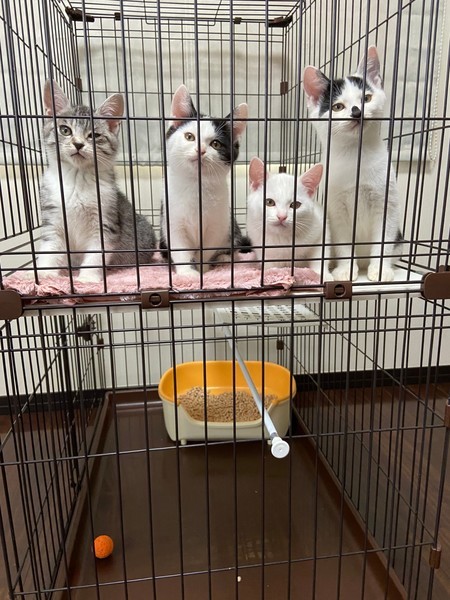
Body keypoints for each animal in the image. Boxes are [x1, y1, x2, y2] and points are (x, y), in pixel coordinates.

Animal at [36, 79, 156, 283]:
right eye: (65, 130)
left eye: (94, 135)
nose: (78, 144)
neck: (77, 180)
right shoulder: (52, 216)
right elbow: (50, 247)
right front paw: (41, 274)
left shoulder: (105, 221)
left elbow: (96, 253)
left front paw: (88, 278)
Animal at [160, 84, 251, 278]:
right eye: (189, 136)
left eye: (216, 144)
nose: (200, 150)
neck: (196, 185)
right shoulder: (172, 221)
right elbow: (180, 249)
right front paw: (187, 273)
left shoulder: (218, 223)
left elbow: (207, 249)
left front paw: (204, 270)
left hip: (231, 226)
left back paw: (224, 258)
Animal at [303, 46, 403, 282]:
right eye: (338, 106)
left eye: (366, 97)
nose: (356, 111)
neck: (355, 156)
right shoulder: (337, 208)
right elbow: (343, 241)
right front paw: (346, 270)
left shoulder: (387, 203)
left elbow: (384, 239)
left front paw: (380, 269)